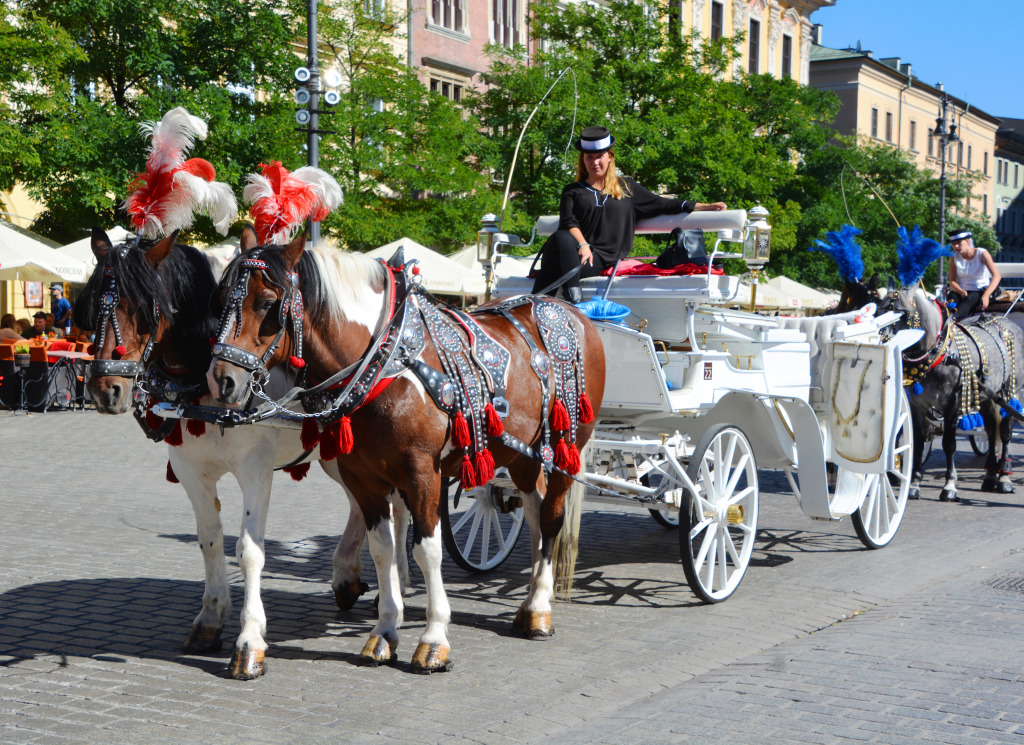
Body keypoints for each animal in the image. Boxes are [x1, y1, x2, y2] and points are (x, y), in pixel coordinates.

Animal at [209, 227, 606, 675]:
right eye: (220, 300)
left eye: (267, 303)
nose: (221, 380)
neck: (383, 360)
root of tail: (568, 308)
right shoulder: (363, 477)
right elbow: (383, 549)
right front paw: (383, 633)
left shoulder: (422, 473)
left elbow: (427, 550)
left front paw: (434, 639)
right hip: (522, 454)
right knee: (536, 516)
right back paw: (530, 603)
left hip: (565, 447)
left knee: (552, 520)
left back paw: (539, 608)